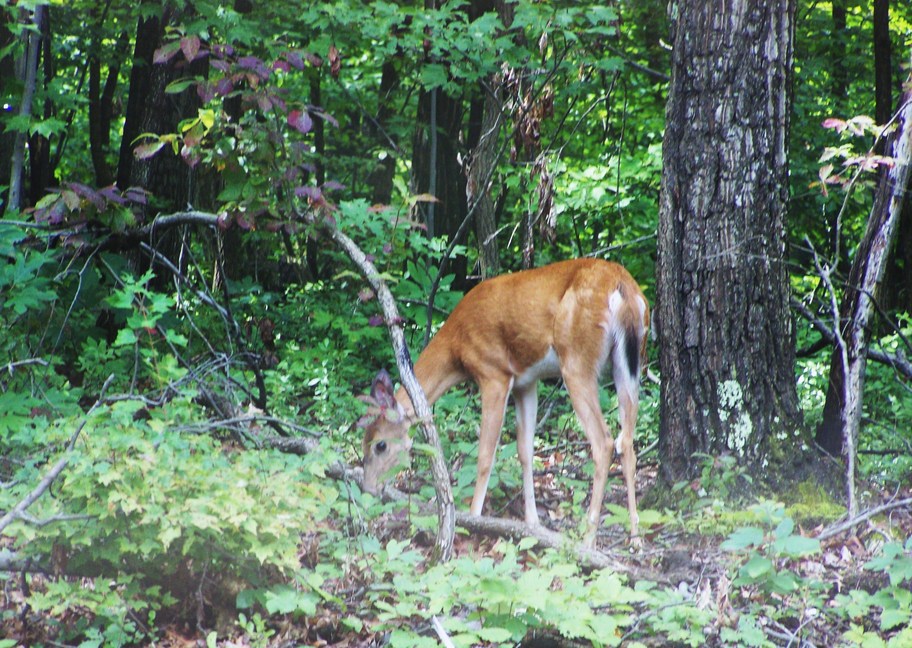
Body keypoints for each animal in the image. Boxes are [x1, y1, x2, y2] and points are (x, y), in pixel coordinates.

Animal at [359, 258, 649, 547]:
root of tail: (622, 285)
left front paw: (473, 520)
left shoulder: (494, 374)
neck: (456, 347)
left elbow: (485, 455)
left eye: (380, 445)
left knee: (604, 442)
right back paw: (635, 537)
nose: (368, 488)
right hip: (631, 362)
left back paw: (588, 540)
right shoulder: (526, 383)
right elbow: (525, 450)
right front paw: (532, 522)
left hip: (577, 361)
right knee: (626, 440)